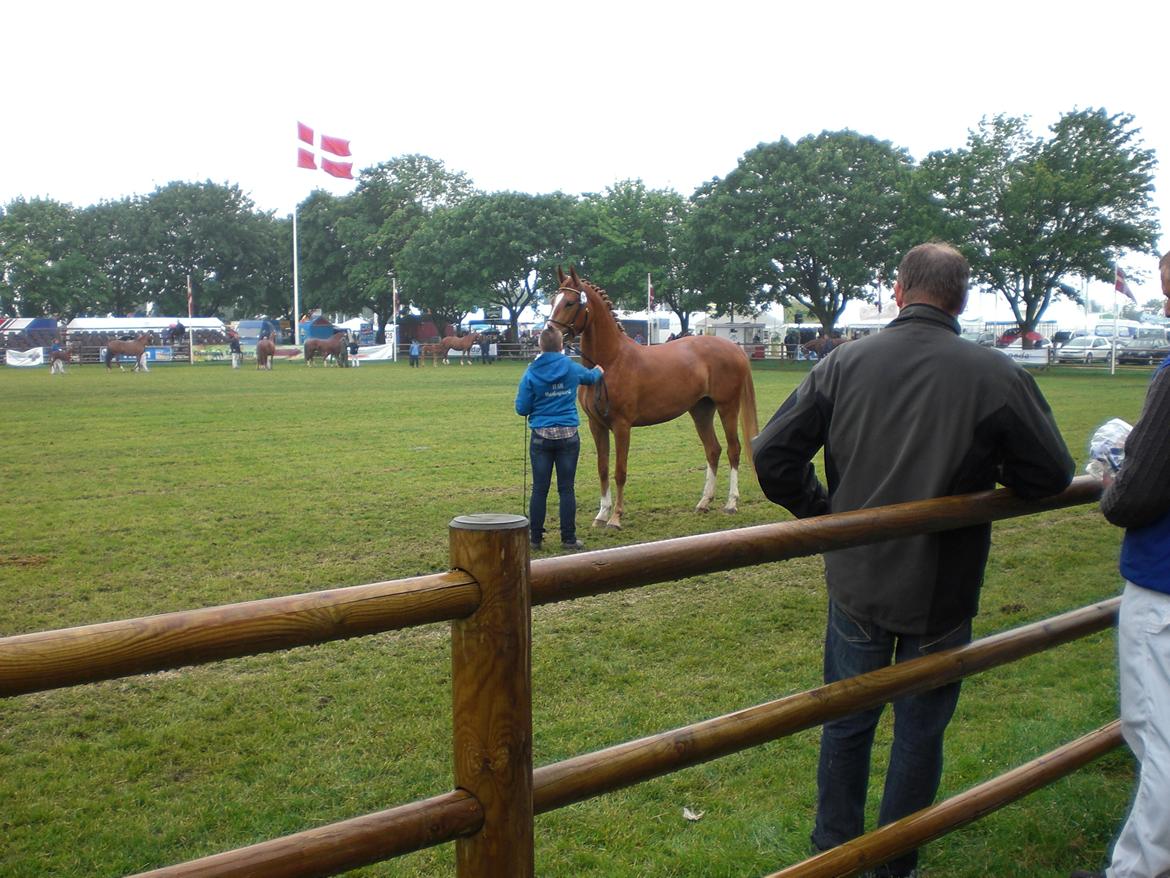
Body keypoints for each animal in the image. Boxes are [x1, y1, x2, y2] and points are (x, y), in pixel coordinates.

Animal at [547, 268, 758, 529]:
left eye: (570, 302)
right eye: (552, 301)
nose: (548, 333)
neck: (610, 361)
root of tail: (735, 347)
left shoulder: (622, 426)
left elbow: (620, 470)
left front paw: (616, 517)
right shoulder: (596, 425)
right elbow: (603, 468)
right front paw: (602, 515)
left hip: (727, 407)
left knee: (733, 449)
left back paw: (731, 503)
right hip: (701, 410)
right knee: (713, 450)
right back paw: (704, 502)